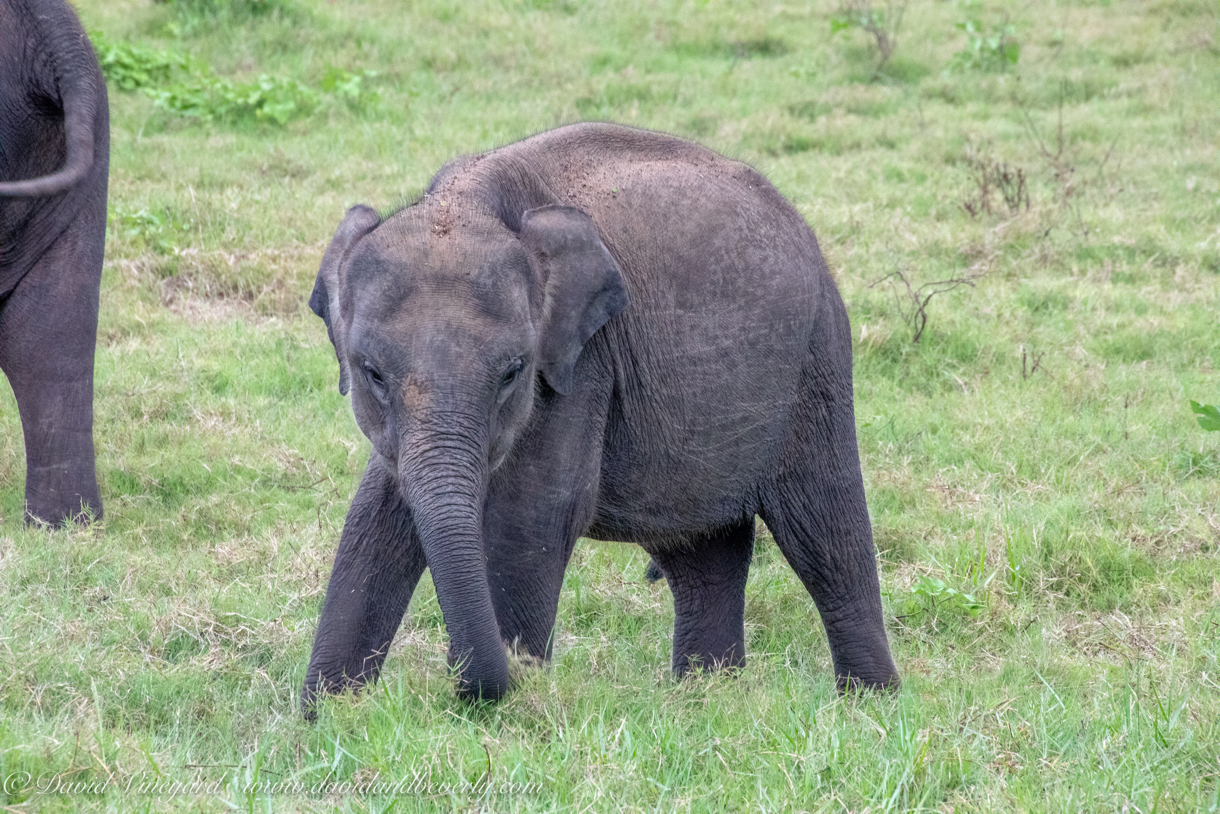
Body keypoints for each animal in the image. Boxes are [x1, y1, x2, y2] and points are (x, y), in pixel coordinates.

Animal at [303, 122, 897, 712]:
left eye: (513, 372)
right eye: (372, 373)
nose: (475, 687)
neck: (468, 198)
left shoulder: (582, 363)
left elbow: (530, 518)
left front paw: (503, 712)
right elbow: (376, 518)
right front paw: (328, 715)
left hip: (815, 362)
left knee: (825, 536)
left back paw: (869, 704)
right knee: (702, 554)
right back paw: (705, 700)